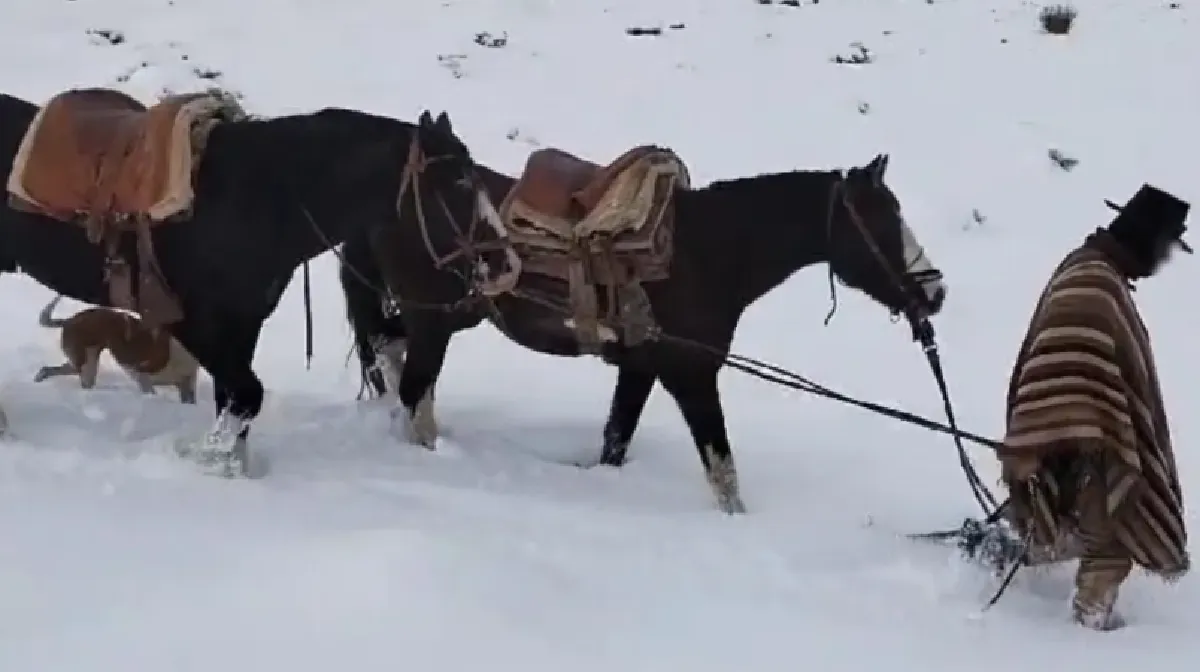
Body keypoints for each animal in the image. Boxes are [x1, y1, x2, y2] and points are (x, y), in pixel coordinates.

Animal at [0, 90, 510, 476]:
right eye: (460, 182)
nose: (503, 261)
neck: (256, 196)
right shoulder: (195, 324)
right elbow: (247, 395)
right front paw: (212, 460)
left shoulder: (243, 325)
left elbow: (234, 400)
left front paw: (231, 468)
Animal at [343, 148, 949, 514]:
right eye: (881, 221)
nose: (936, 292)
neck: (707, 251)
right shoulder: (693, 375)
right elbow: (723, 469)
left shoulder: (640, 369)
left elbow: (616, 439)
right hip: (435, 322)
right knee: (412, 386)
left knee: (395, 357)